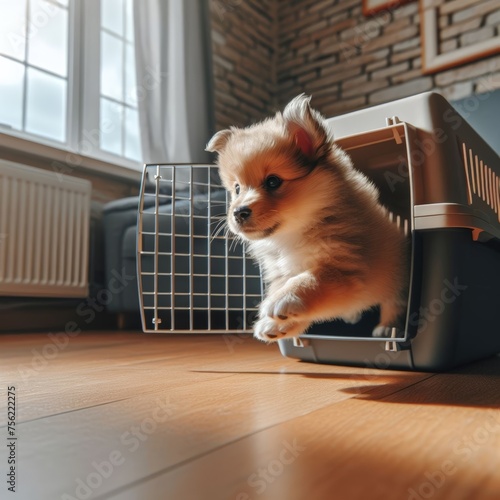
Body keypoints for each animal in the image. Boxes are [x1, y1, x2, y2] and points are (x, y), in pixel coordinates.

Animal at [205, 95, 408, 342]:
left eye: (273, 181)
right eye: (237, 189)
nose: (238, 212)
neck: (293, 235)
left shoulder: (347, 270)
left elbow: (312, 278)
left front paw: (283, 299)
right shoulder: (283, 272)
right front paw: (275, 324)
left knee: (395, 300)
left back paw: (388, 327)